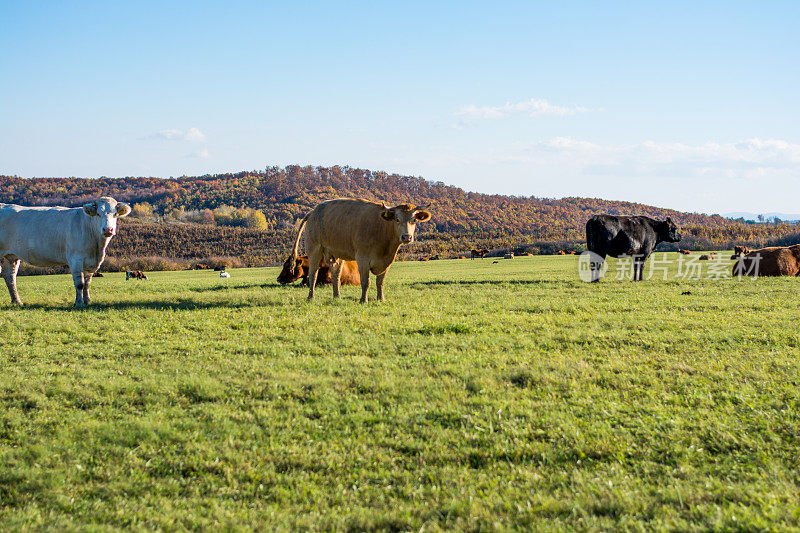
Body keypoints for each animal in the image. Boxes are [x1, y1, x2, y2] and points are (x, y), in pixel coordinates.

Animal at [0, 196, 130, 306]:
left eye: (115, 214)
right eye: (98, 214)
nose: (108, 229)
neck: (97, 248)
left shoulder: (90, 262)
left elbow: (87, 283)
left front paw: (87, 301)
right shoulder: (75, 258)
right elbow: (80, 283)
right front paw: (79, 303)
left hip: (11, 256)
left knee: (10, 276)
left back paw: (17, 302)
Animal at [284, 197, 428, 302]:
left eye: (414, 220)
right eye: (397, 219)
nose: (406, 236)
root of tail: (313, 211)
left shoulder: (387, 261)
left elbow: (380, 282)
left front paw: (381, 299)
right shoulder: (362, 258)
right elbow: (366, 282)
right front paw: (363, 300)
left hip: (336, 254)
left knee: (336, 274)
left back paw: (337, 297)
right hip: (314, 249)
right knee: (313, 274)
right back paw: (311, 297)